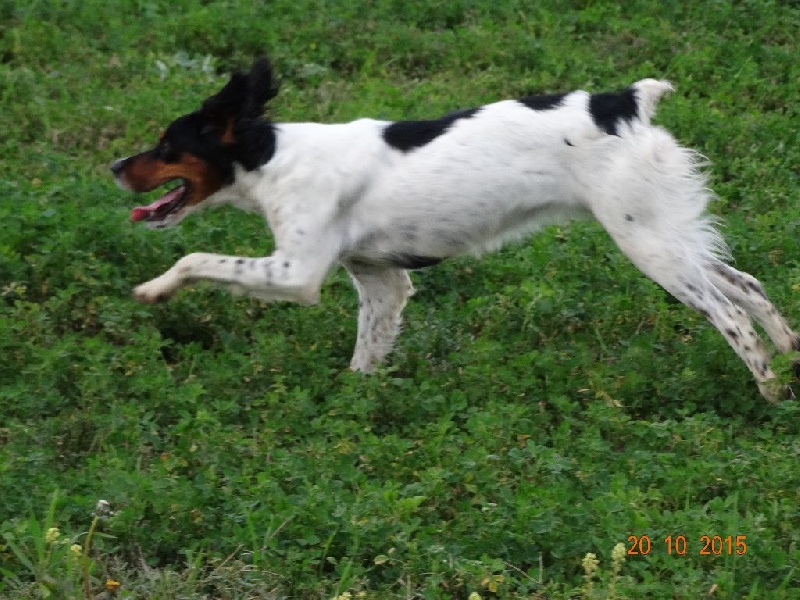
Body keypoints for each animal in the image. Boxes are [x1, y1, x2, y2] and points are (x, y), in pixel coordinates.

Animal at [111, 58, 799, 400]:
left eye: (167, 146)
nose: (115, 166)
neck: (272, 156)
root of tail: (622, 101)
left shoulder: (295, 272)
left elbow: (198, 259)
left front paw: (154, 289)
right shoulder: (381, 282)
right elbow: (365, 359)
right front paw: (353, 411)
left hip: (648, 244)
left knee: (730, 315)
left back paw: (769, 388)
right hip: (664, 234)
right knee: (747, 283)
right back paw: (790, 351)